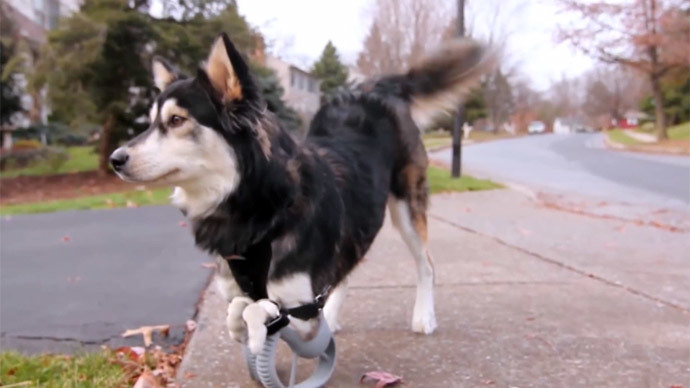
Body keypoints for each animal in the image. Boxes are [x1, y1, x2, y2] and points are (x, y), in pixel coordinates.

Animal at [110, 33, 490, 354]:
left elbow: (263, 311)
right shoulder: (248, 291)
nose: (115, 159)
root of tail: (375, 89)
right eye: (149, 122)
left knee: (426, 265)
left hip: (408, 208)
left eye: (176, 120)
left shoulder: (303, 313)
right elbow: (240, 308)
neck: (260, 209)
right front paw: (242, 325)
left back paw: (423, 316)